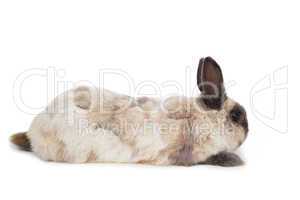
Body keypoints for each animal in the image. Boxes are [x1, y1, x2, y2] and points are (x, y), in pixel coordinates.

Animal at [9, 57, 248, 166]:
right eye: (237, 115)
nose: (247, 132)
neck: (205, 119)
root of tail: (33, 133)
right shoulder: (187, 154)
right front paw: (234, 160)